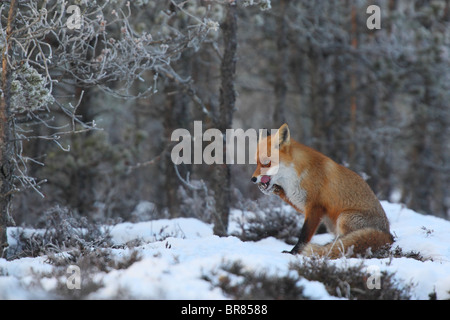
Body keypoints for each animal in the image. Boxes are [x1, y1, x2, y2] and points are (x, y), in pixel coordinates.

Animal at [251, 124, 392, 258]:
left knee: (346, 241)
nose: (253, 179)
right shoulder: (301, 201)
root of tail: (388, 235)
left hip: (344, 217)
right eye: (256, 163)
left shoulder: (315, 207)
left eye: (266, 163)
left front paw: (294, 253)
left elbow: (304, 235)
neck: (297, 175)